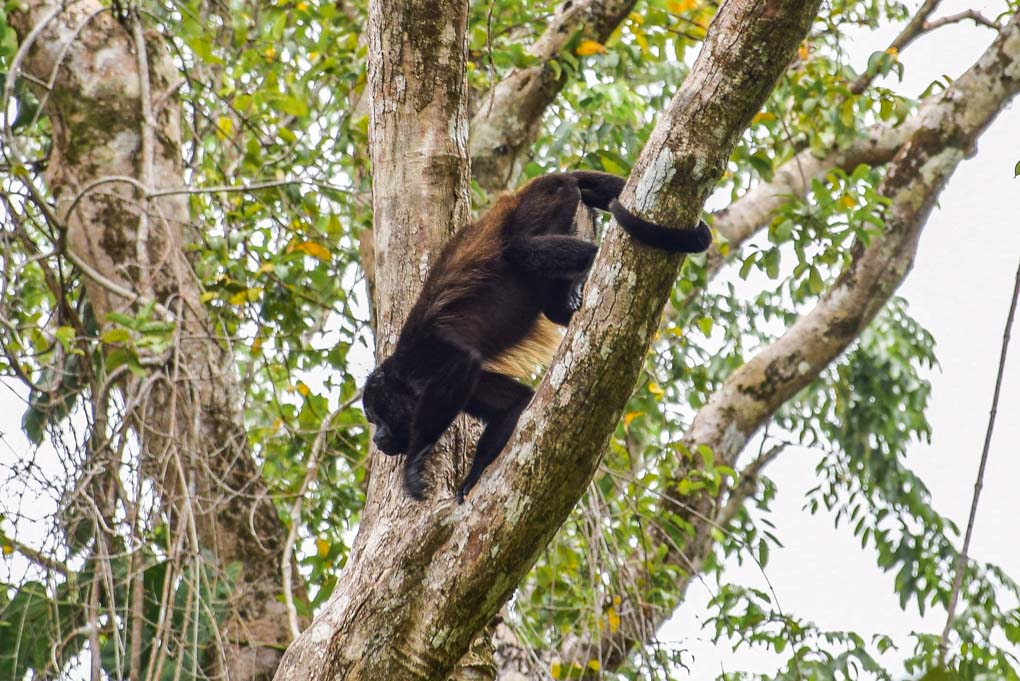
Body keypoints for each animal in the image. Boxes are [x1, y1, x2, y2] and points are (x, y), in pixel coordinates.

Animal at [362, 171, 711, 502]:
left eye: (377, 415)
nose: (377, 438)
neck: (401, 376)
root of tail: (551, 178)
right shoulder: (470, 385)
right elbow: (513, 404)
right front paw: (475, 476)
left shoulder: (426, 356)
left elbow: (464, 361)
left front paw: (414, 463)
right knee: (550, 298)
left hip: (547, 201)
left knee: (521, 249)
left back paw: (588, 262)